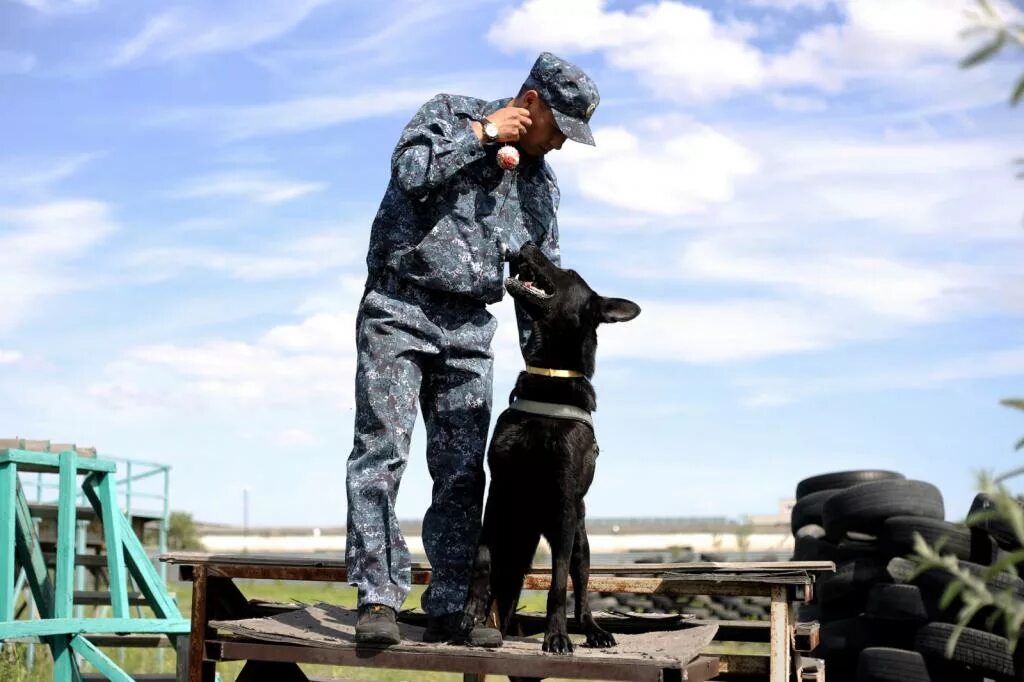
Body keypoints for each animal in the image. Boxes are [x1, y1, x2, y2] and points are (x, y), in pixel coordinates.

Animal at [462, 241, 638, 651]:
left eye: (569, 273)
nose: (527, 244)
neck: (549, 377)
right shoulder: (498, 492)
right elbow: (481, 560)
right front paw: (471, 611)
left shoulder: (564, 508)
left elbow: (557, 584)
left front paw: (556, 635)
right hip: (515, 544)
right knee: (505, 586)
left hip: (580, 544)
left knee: (581, 592)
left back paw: (593, 631)